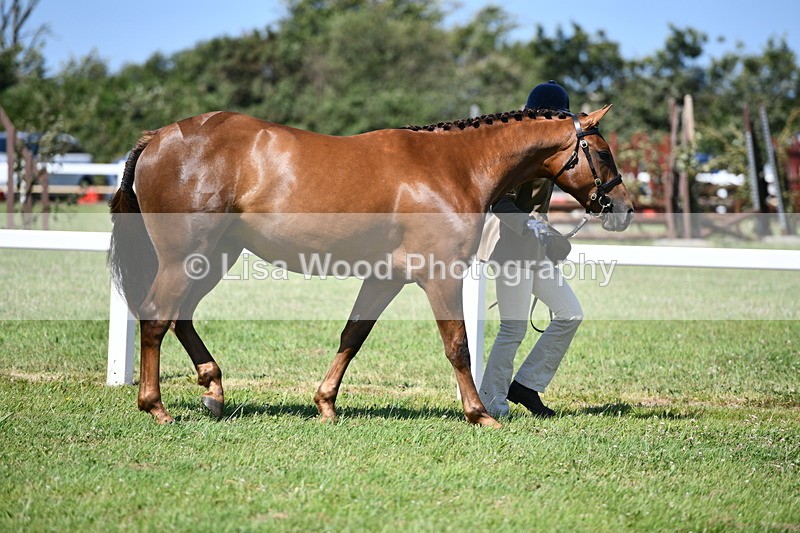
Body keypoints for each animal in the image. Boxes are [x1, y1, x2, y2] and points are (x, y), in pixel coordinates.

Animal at [108, 105, 634, 427]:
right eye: (603, 152)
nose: (624, 209)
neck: (453, 167)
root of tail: (158, 138)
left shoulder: (386, 278)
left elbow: (353, 335)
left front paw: (326, 404)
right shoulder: (440, 277)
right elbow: (458, 346)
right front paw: (479, 413)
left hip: (214, 257)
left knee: (180, 316)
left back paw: (214, 389)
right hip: (185, 258)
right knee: (156, 317)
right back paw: (156, 406)